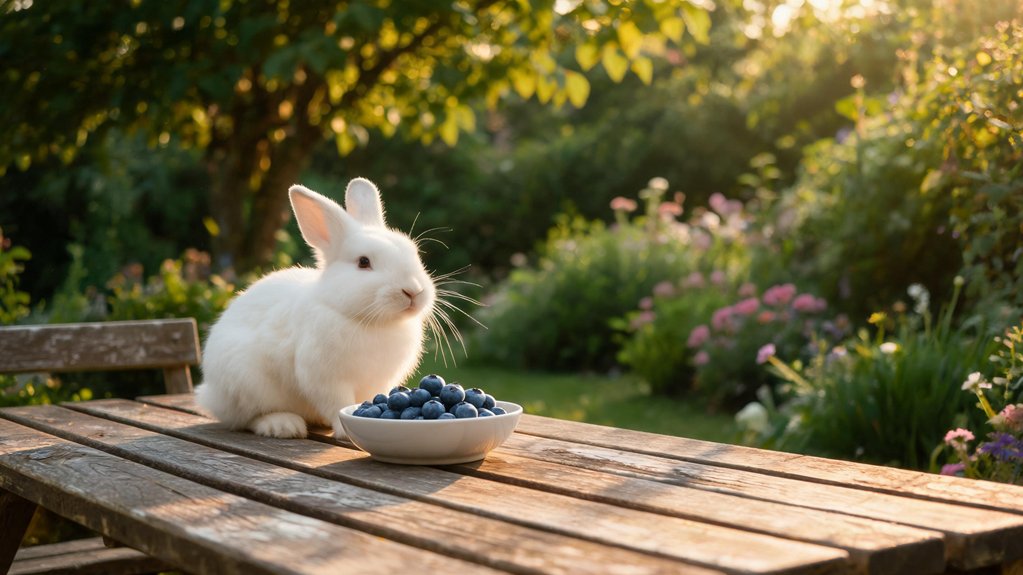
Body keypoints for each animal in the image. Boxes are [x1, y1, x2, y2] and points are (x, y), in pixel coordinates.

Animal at [195, 178, 437, 439]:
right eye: (364, 262)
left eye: (414, 253)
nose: (413, 291)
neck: (369, 321)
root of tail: (209, 393)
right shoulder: (325, 378)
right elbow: (337, 403)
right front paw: (344, 431)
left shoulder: (378, 381)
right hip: (247, 385)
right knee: (246, 418)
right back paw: (282, 425)